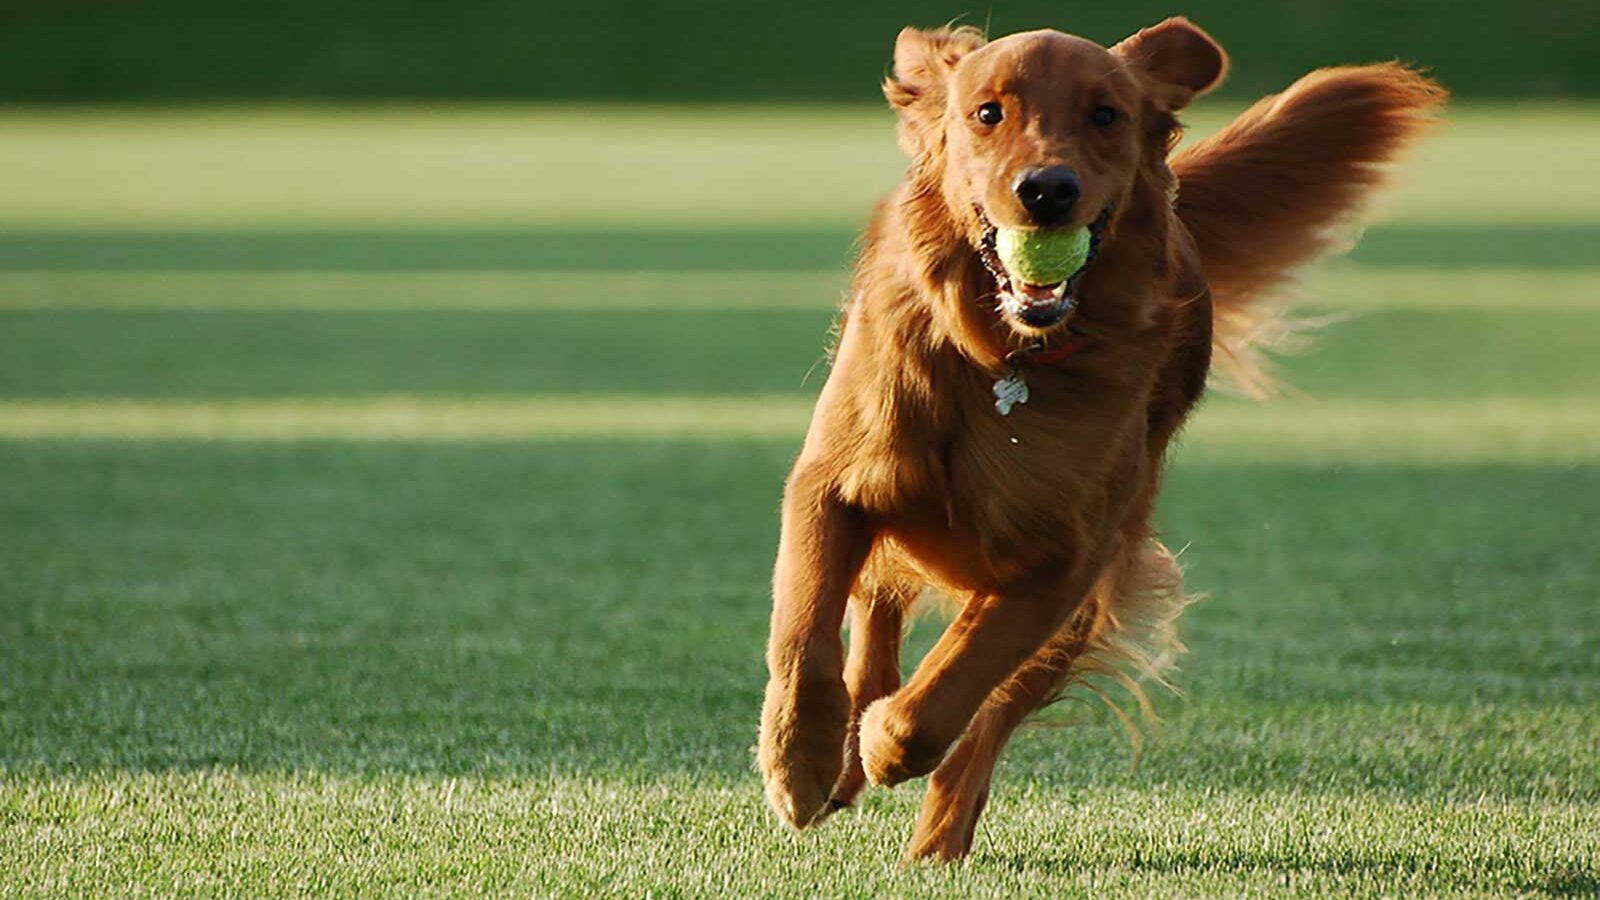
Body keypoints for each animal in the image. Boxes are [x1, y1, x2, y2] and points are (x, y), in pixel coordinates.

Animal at [755, 17, 1446, 858]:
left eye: (1106, 115)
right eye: (988, 113)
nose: (1047, 190)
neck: (1004, 357)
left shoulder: (1066, 560)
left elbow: (952, 687)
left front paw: (887, 742)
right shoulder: (831, 484)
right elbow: (804, 635)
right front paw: (800, 762)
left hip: (1097, 583)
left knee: (987, 718)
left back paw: (936, 832)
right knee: (876, 617)